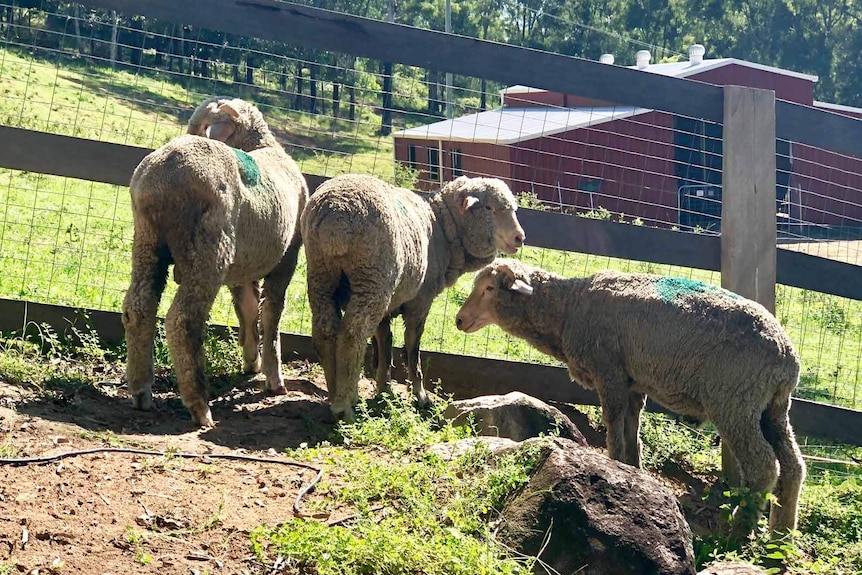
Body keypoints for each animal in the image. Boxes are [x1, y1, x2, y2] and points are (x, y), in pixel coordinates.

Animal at [120, 97, 310, 428]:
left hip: (147, 240)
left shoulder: (243, 266)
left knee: (138, 308)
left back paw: (141, 391)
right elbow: (271, 315)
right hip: (210, 249)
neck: (262, 147)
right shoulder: (288, 256)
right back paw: (199, 405)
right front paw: (274, 377)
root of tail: (162, 174)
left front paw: (251, 361)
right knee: (183, 319)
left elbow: (247, 309)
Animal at [296, 173, 528, 420]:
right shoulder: (420, 300)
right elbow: (412, 347)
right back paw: (344, 405)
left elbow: (385, 343)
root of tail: (335, 215)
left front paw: (384, 390)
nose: (519, 238)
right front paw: (420, 395)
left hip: (323, 275)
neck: (441, 226)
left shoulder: (389, 300)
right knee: (352, 335)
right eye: (489, 207)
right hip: (371, 279)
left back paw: (334, 393)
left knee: (325, 332)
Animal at [460, 258, 808, 536]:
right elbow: (631, 429)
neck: (568, 309)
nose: (459, 320)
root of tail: (787, 359)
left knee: (764, 466)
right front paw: (634, 472)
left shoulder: (609, 371)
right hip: (772, 408)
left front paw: (613, 468)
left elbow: (614, 426)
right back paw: (782, 534)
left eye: (489, 288)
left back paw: (740, 530)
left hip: (734, 401)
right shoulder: (632, 382)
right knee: (793, 466)